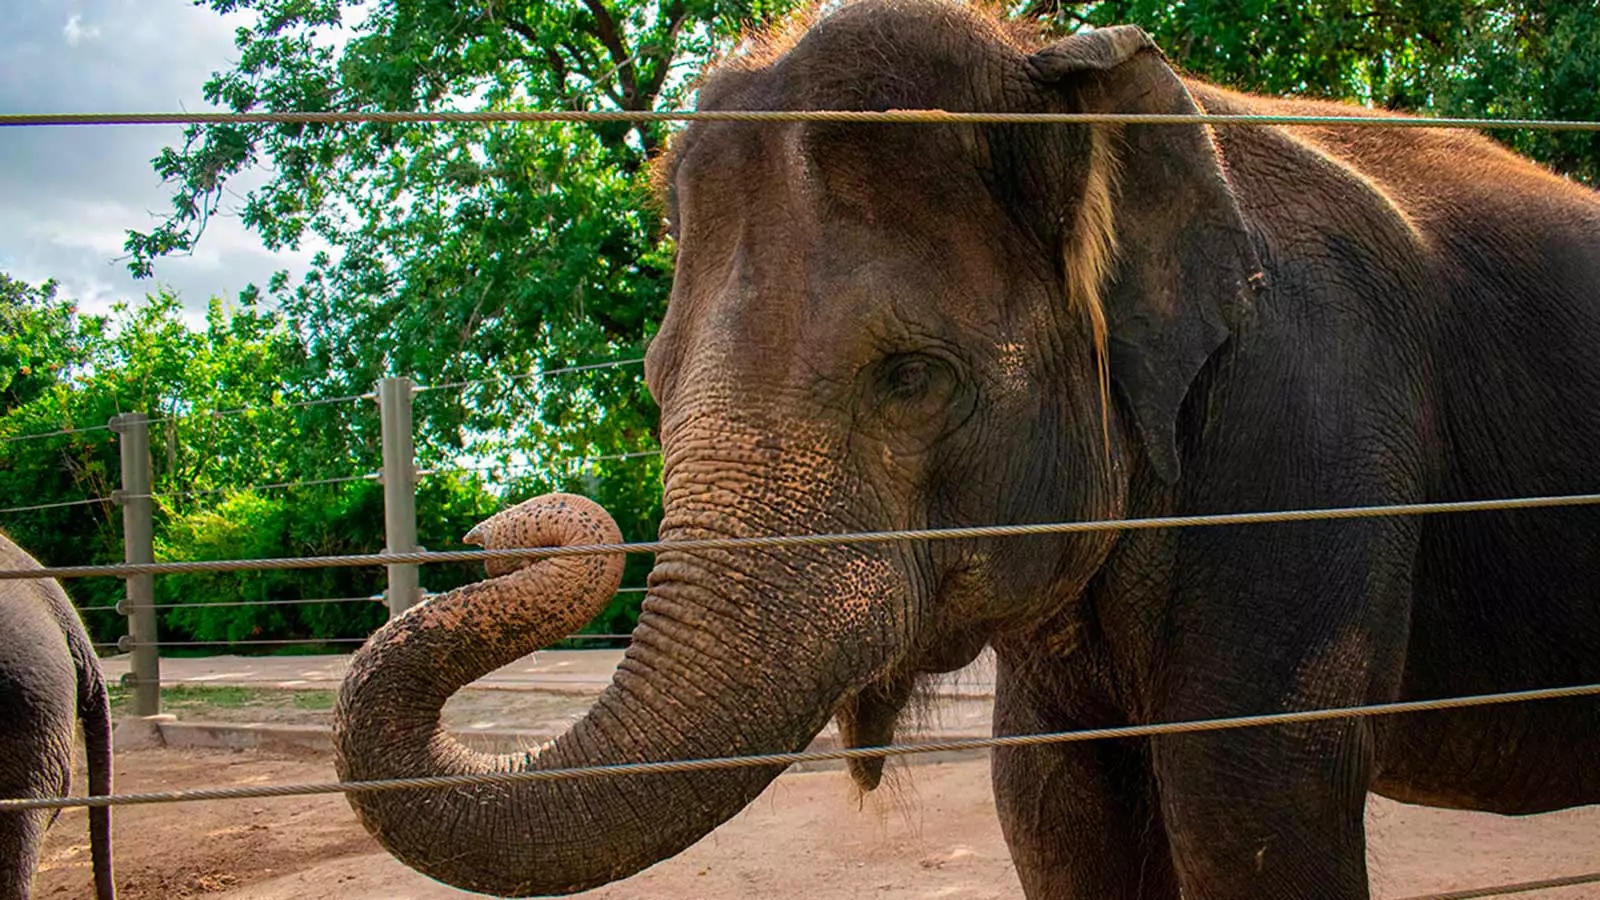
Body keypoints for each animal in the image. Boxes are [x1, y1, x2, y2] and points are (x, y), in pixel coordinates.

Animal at [328, 3, 1600, 890]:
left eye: (910, 378)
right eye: (650, 380)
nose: (495, 532)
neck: (1064, 76)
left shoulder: (1310, 426)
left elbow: (1252, 812)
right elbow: (1050, 809)